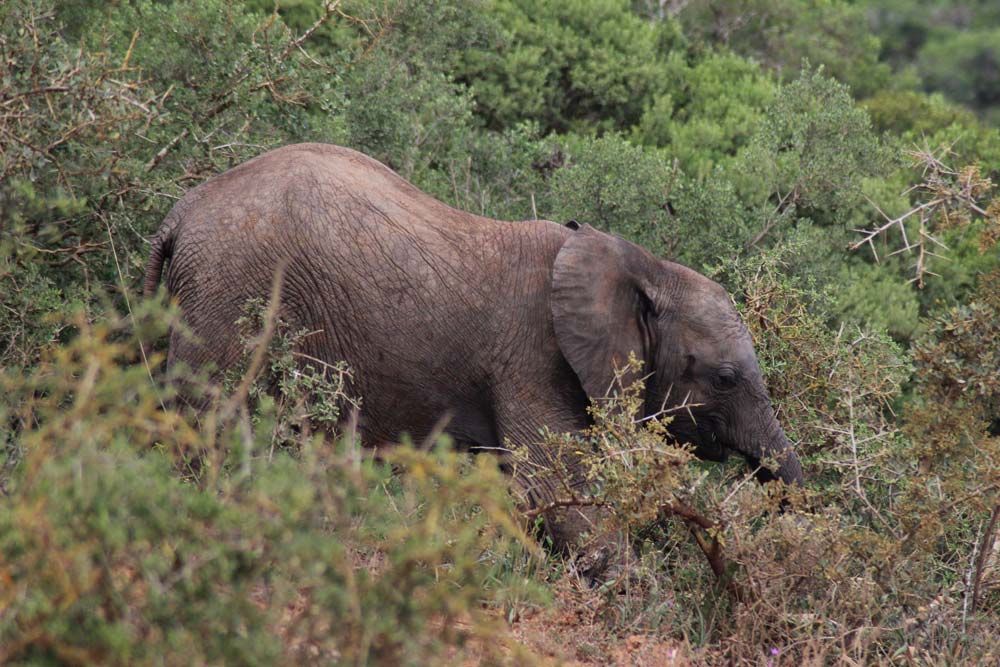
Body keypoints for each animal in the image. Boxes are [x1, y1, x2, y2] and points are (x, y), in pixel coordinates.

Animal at [145, 142, 804, 576]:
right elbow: (557, 491)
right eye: (724, 378)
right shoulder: (533, 362)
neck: (640, 263)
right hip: (231, 295)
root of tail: (179, 214)